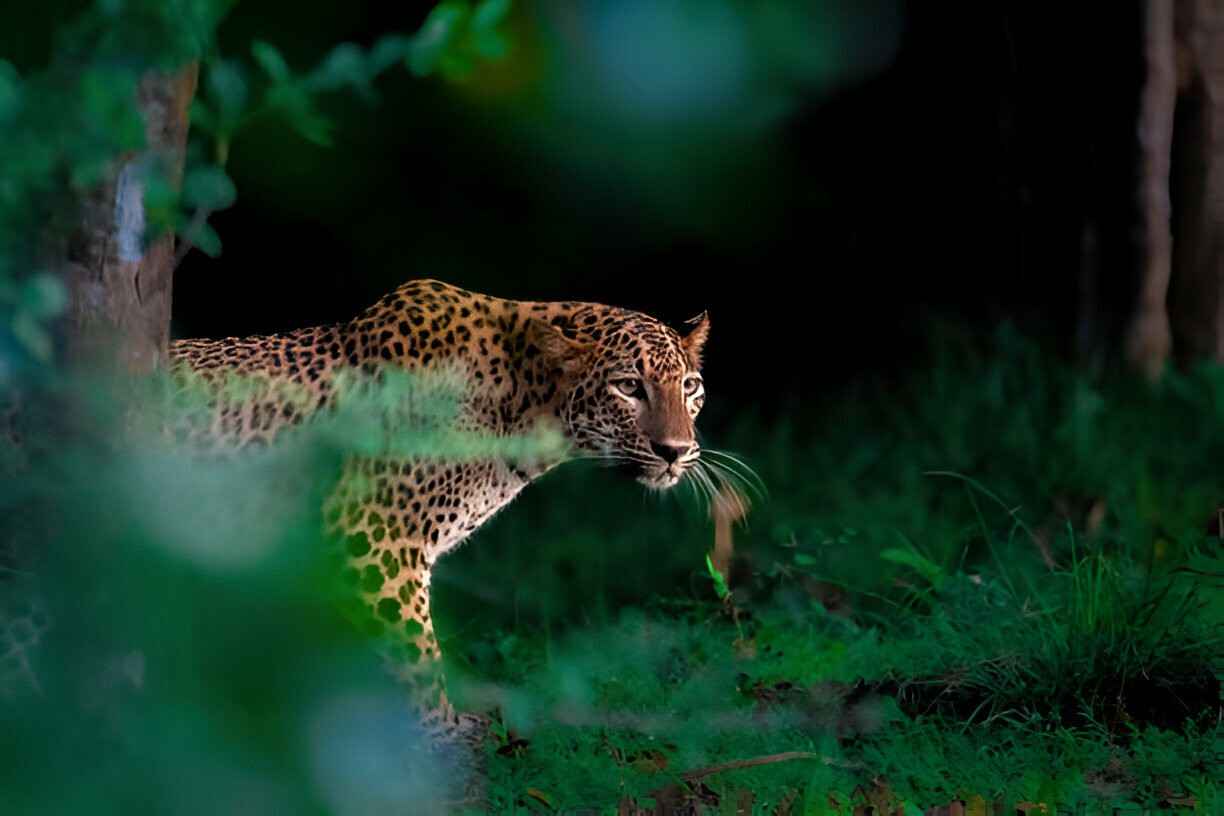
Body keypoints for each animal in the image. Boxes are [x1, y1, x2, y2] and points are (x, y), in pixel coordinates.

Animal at [169, 278, 718, 743]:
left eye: (689, 386)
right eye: (628, 387)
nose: (675, 450)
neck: (525, 405)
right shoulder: (374, 536)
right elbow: (416, 654)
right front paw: (441, 737)